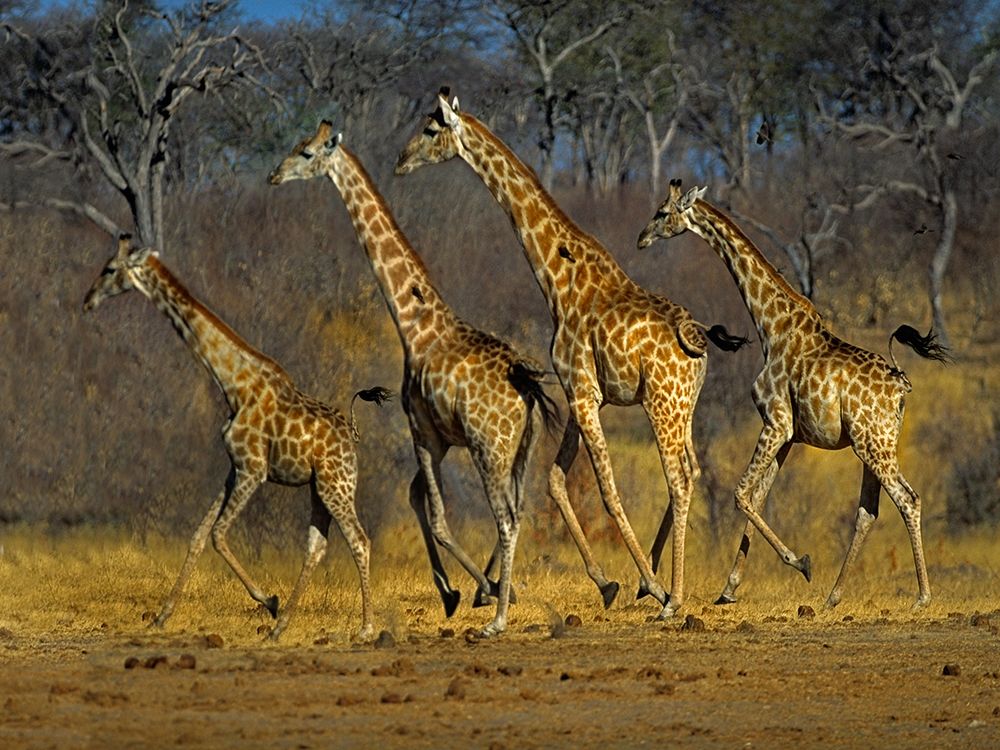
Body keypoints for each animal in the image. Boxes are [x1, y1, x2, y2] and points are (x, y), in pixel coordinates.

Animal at [83, 235, 391, 641]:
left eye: (109, 269)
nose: (87, 300)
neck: (233, 385)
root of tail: (352, 434)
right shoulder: (233, 468)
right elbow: (199, 535)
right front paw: (162, 616)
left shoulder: (253, 469)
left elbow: (217, 534)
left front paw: (269, 600)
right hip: (318, 487)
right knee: (316, 545)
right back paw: (282, 627)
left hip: (335, 483)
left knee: (358, 540)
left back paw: (365, 628)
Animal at [268, 122, 557, 636]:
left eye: (305, 152)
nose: (273, 174)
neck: (413, 323)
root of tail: (526, 387)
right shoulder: (438, 438)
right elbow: (416, 497)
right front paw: (457, 592)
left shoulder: (421, 428)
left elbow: (437, 517)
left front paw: (474, 593)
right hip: (523, 445)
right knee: (520, 510)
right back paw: (498, 594)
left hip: (489, 446)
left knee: (505, 518)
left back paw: (498, 618)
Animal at [395, 89, 747, 619]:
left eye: (432, 129)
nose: (400, 160)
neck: (556, 280)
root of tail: (699, 339)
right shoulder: (582, 394)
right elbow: (555, 482)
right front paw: (605, 583)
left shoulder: (580, 391)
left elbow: (604, 488)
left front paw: (648, 583)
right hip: (684, 405)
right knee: (692, 471)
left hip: (661, 404)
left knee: (680, 480)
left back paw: (673, 597)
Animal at [637, 179, 951, 608]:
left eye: (662, 212)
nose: (641, 238)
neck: (770, 325)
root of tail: (902, 385)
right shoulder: (787, 434)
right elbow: (757, 497)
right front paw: (729, 589)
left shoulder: (776, 422)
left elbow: (741, 494)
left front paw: (800, 562)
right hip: (873, 442)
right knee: (868, 511)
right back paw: (833, 596)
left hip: (874, 442)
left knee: (908, 499)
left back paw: (922, 596)